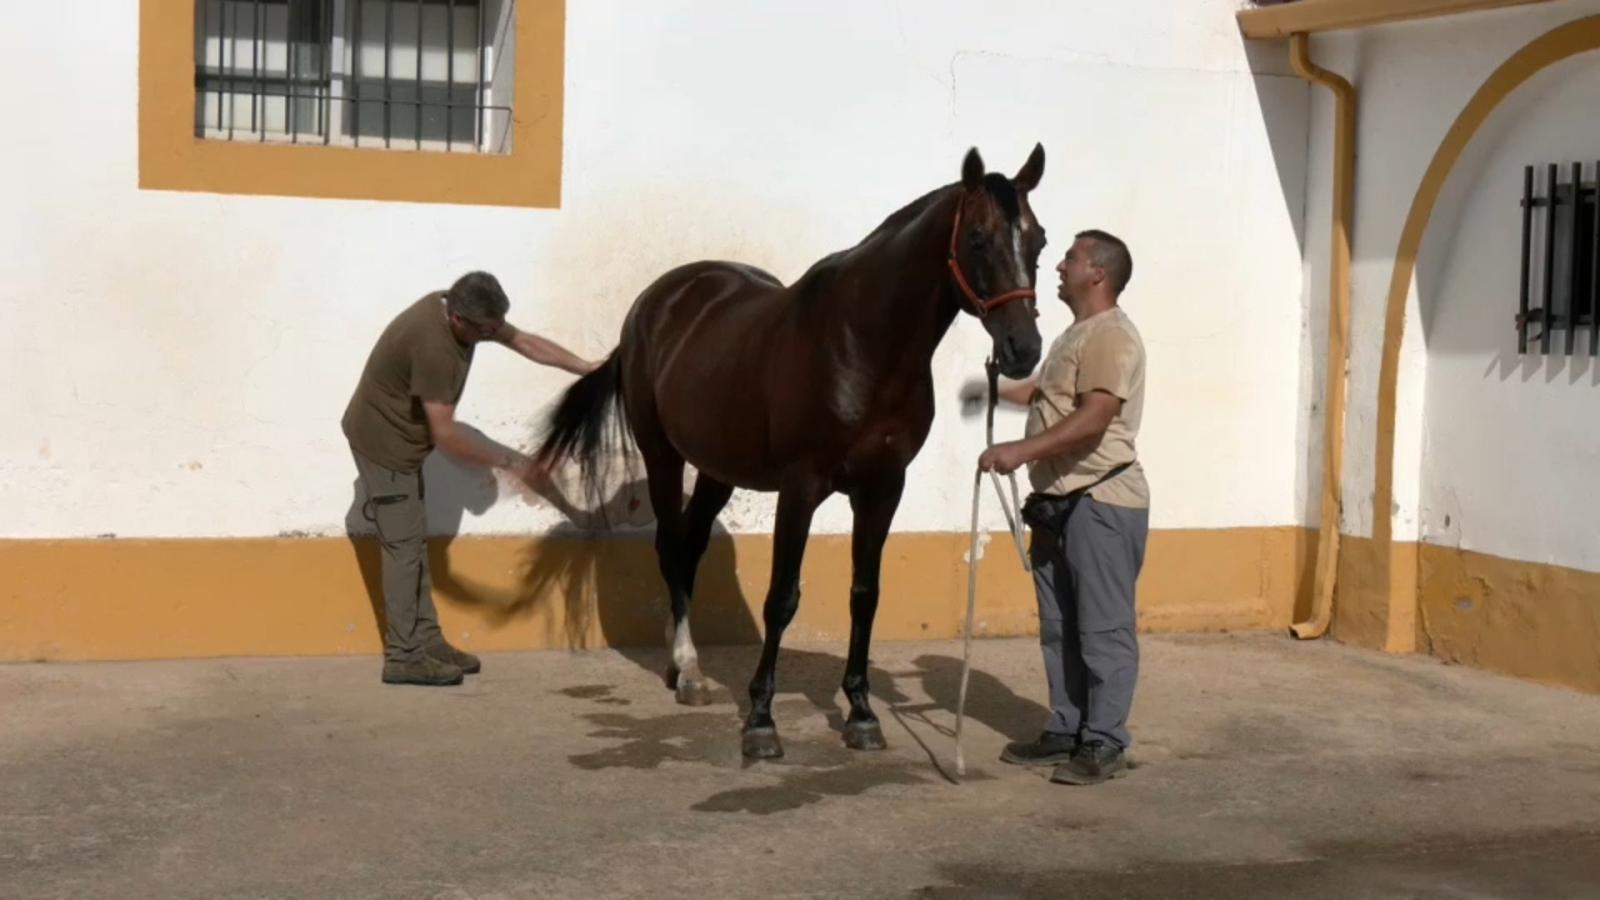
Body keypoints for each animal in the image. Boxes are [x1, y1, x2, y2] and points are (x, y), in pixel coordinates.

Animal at [537, 146, 1047, 759]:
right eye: (976, 239)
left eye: (1040, 241)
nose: (1023, 350)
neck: (865, 347)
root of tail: (655, 302)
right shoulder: (801, 487)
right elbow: (781, 597)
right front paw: (760, 721)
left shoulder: (884, 488)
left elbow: (865, 595)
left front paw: (861, 713)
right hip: (662, 454)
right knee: (670, 545)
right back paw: (688, 670)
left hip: (718, 467)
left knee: (691, 545)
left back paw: (681, 663)